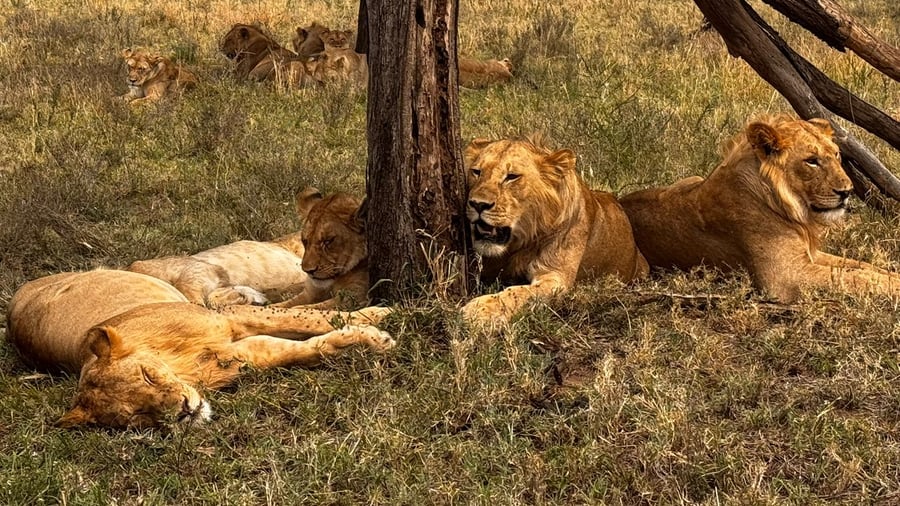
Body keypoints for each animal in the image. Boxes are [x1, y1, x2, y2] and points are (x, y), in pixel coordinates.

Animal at [6, 269, 393, 429]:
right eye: (137, 416)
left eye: (147, 376)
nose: (184, 411)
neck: (180, 365)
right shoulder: (244, 354)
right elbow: (304, 347)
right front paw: (366, 337)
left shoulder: (228, 319)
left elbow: (309, 318)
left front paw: (377, 317)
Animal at [461, 135, 649, 327]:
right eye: (476, 172)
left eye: (512, 177)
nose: (478, 204)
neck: (521, 243)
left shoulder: (555, 276)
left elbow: (519, 293)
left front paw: (481, 310)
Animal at [619, 115, 900, 302]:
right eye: (811, 161)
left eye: (836, 154)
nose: (847, 191)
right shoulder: (786, 276)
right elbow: (854, 277)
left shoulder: (809, 255)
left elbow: (862, 266)